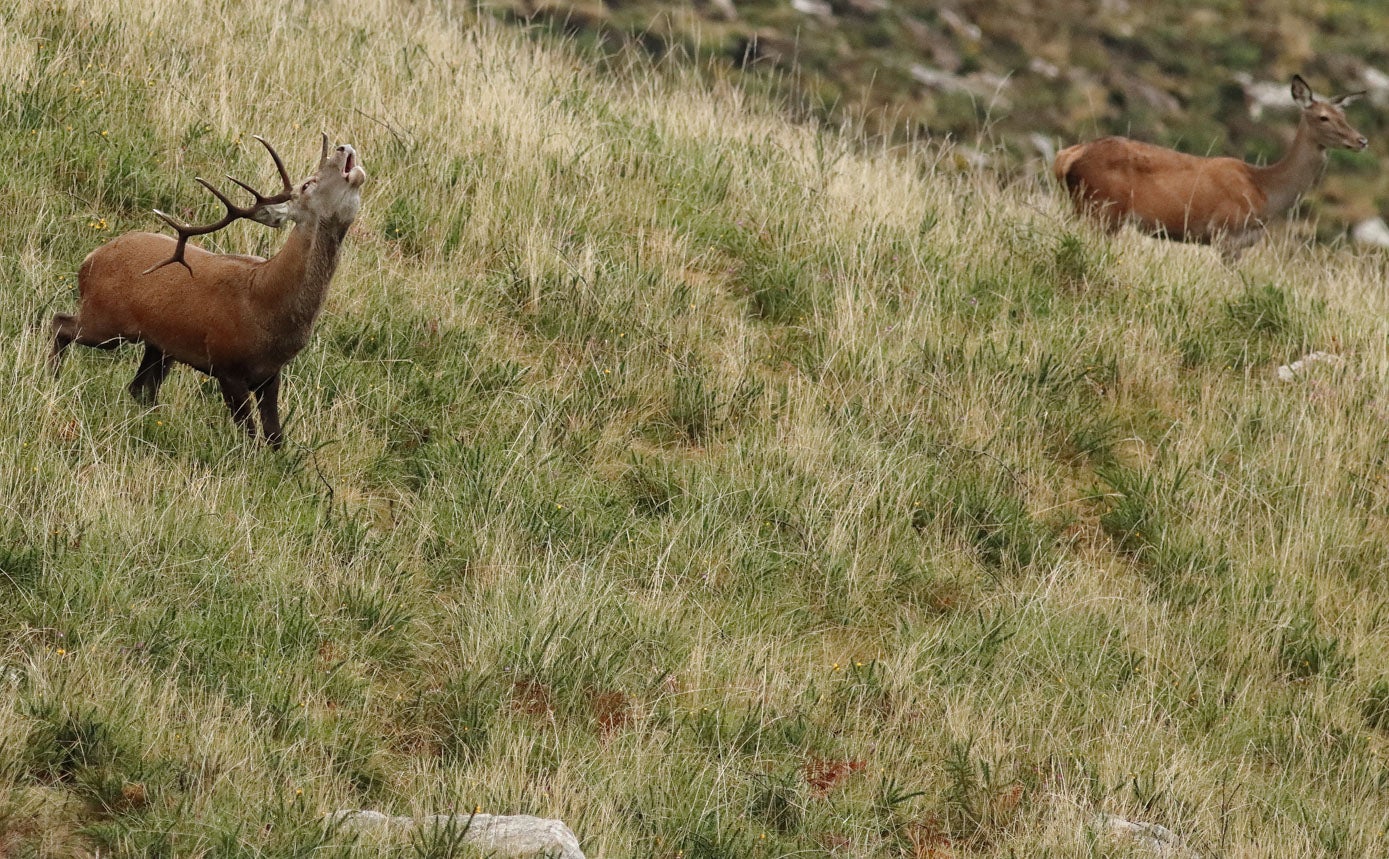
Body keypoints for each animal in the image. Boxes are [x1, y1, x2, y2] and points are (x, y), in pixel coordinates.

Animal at [51, 133, 366, 447]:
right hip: (106, 318)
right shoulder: (225, 364)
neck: (266, 308)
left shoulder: (270, 373)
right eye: (308, 183)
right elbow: (251, 435)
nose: (344, 147)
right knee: (61, 323)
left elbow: (275, 437)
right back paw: (52, 378)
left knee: (140, 388)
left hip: (159, 345)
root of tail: (90, 260)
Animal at [1050, 76, 1366, 257]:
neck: (1265, 192)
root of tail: (1067, 156)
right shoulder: (1225, 233)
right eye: (1323, 117)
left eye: (1345, 115)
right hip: (1102, 208)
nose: (1361, 140)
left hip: (1087, 208)